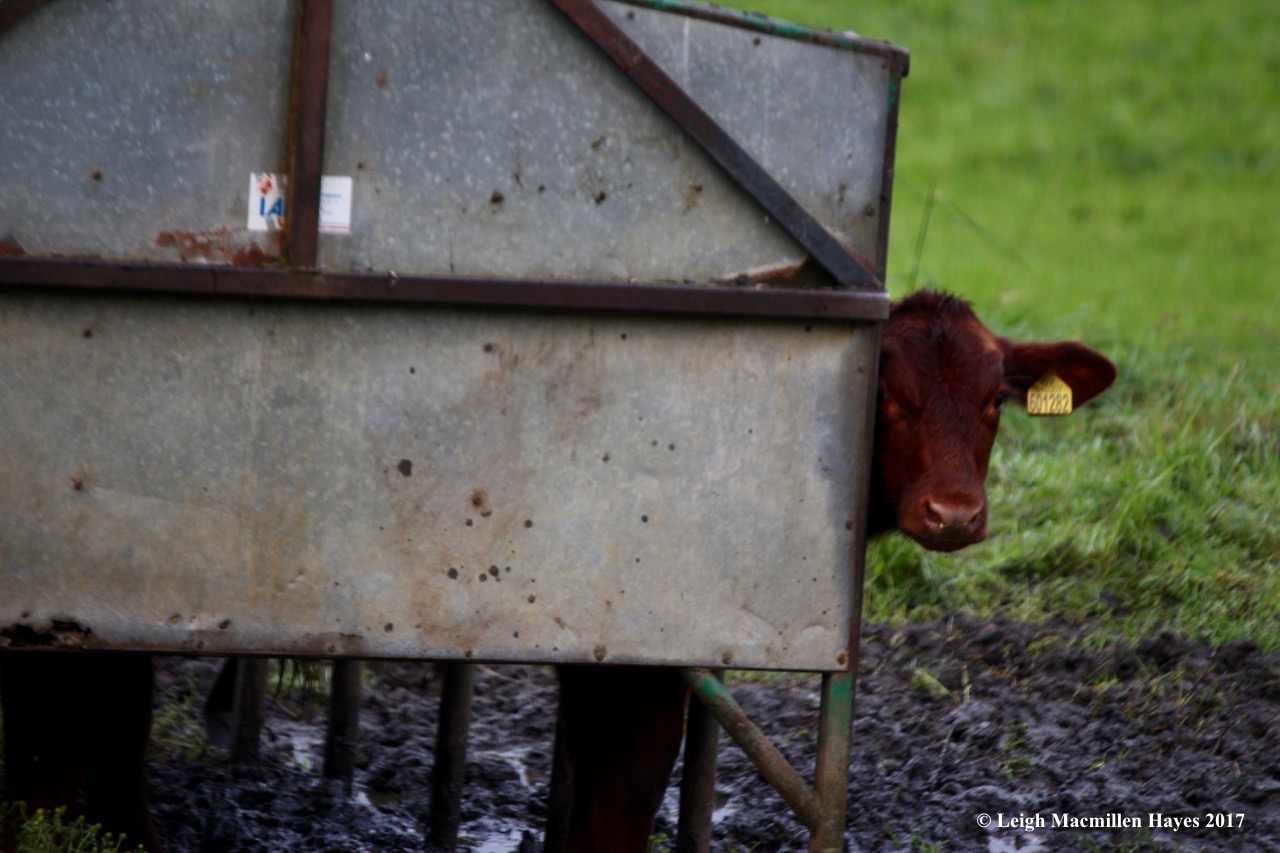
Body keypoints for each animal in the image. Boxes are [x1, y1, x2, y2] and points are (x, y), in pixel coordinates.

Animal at [0, 290, 1116, 853]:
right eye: (883, 393)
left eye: (993, 399)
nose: (953, 514)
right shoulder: (634, 641)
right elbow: (619, 793)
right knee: (83, 727)